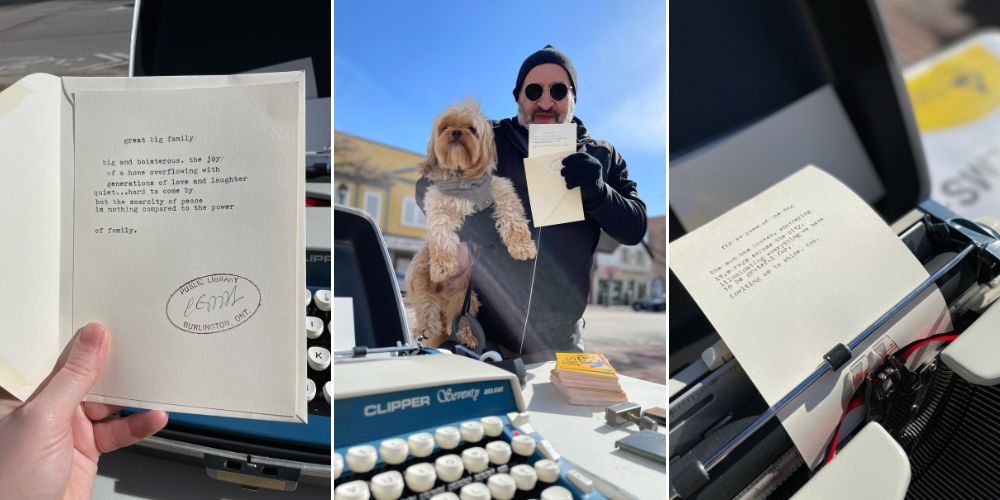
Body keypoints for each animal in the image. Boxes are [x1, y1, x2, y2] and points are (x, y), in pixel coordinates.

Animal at [404, 100, 536, 350]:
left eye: (471, 129)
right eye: (445, 127)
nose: (456, 132)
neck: (463, 180)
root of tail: (443, 296)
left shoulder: (503, 192)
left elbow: (513, 218)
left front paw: (523, 247)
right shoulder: (438, 205)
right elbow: (442, 235)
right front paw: (443, 265)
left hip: (467, 294)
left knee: (459, 319)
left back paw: (467, 336)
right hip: (420, 271)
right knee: (425, 305)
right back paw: (427, 327)